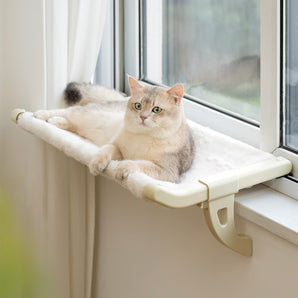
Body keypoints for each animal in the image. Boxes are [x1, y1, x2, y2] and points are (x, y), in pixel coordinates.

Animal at [35, 77, 194, 183]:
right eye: (138, 106)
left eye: (157, 109)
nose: (143, 117)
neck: (143, 136)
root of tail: (120, 99)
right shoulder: (117, 146)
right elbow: (106, 150)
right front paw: (96, 164)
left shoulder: (167, 172)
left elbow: (138, 163)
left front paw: (121, 169)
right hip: (85, 113)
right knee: (65, 112)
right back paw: (40, 114)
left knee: (74, 125)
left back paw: (56, 121)